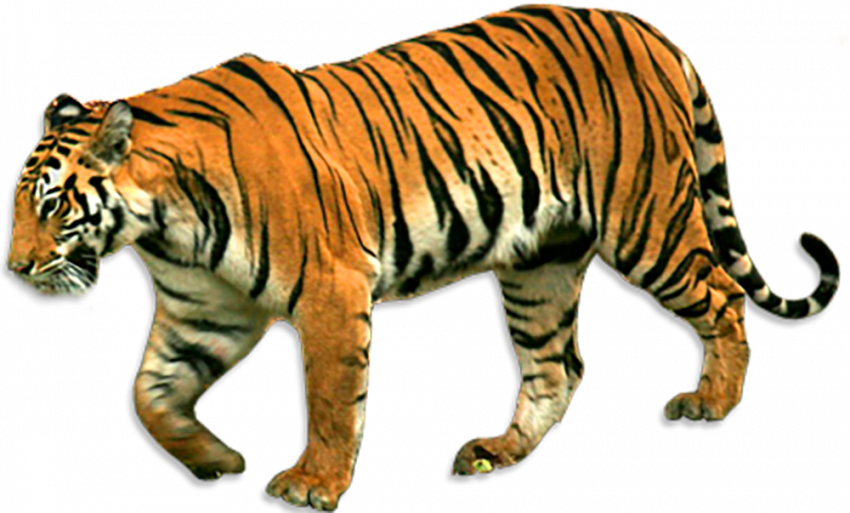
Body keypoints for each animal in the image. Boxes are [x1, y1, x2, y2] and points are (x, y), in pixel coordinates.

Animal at [2, 3, 842, 512]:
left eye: (52, 204)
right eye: (17, 205)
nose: (12, 268)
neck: (168, 225)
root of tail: (644, 26)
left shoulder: (332, 292)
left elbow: (330, 400)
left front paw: (310, 484)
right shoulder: (203, 312)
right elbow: (148, 394)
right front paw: (214, 463)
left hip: (647, 223)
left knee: (721, 298)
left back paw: (709, 405)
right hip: (538, 264)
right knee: (557, 367)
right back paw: (493, 454)